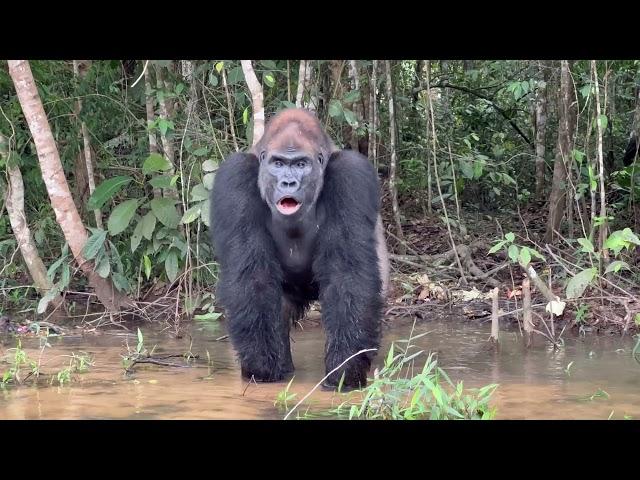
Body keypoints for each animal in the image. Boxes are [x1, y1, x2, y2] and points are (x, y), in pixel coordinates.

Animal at [211, 109, 390, 390]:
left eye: (301, 165)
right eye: (278, 164)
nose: (288, 182)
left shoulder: (351, 174)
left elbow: (347, 275)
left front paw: (346, 368)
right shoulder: (234, 175)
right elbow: (253, 278)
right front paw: (261, 365)